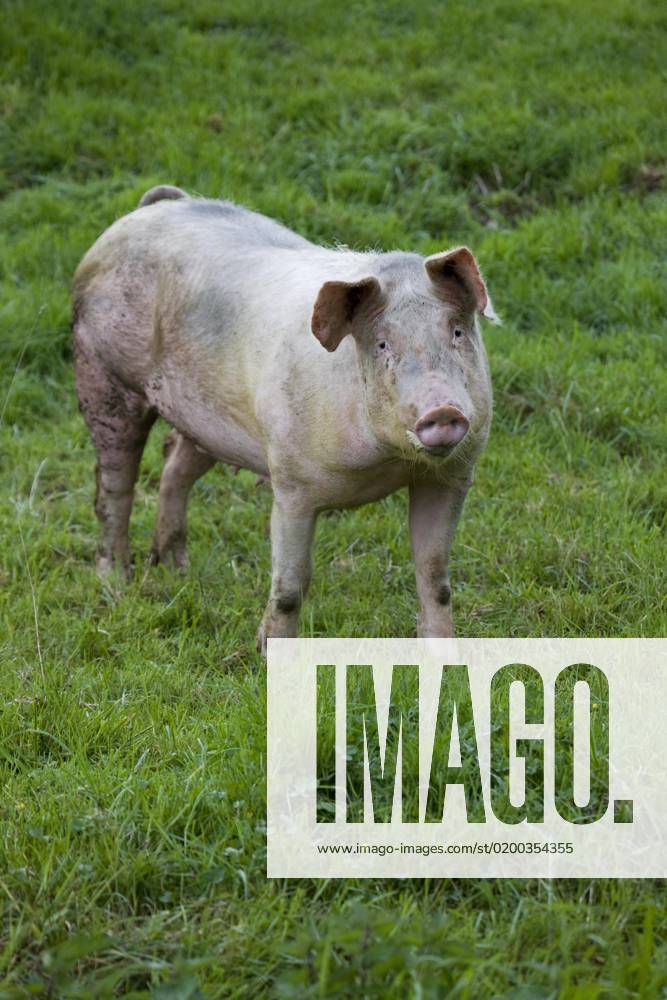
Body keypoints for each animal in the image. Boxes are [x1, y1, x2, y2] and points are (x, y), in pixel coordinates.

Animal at [72, 185, 497, 651]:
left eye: (457, 332)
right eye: (383, 344)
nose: (443, 410)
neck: (388, 462)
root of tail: (153, 208)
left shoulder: (452, 475)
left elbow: (435, 577)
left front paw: (446, 655)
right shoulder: (292, 484)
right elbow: (291, 586)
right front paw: (268, 654)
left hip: (208, 422)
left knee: (173, 464)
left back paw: (175, 568)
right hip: (102, 373)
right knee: (114, 488)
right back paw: (116, 582)